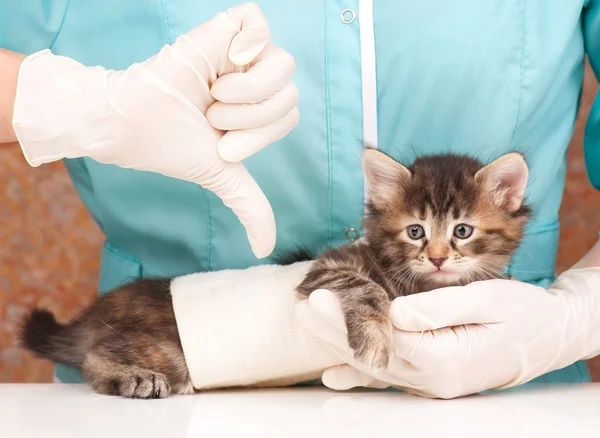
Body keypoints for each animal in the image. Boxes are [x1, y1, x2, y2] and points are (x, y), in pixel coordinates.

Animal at [19, 150, 528, 396]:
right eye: (416, 231)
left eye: (462, 230)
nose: (439, 257)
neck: (420, 283)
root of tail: (100, 313)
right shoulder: (326, 269)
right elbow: (367, 290)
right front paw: (374, 337)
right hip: (165, 349)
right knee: (95, 358)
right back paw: (135, 379)